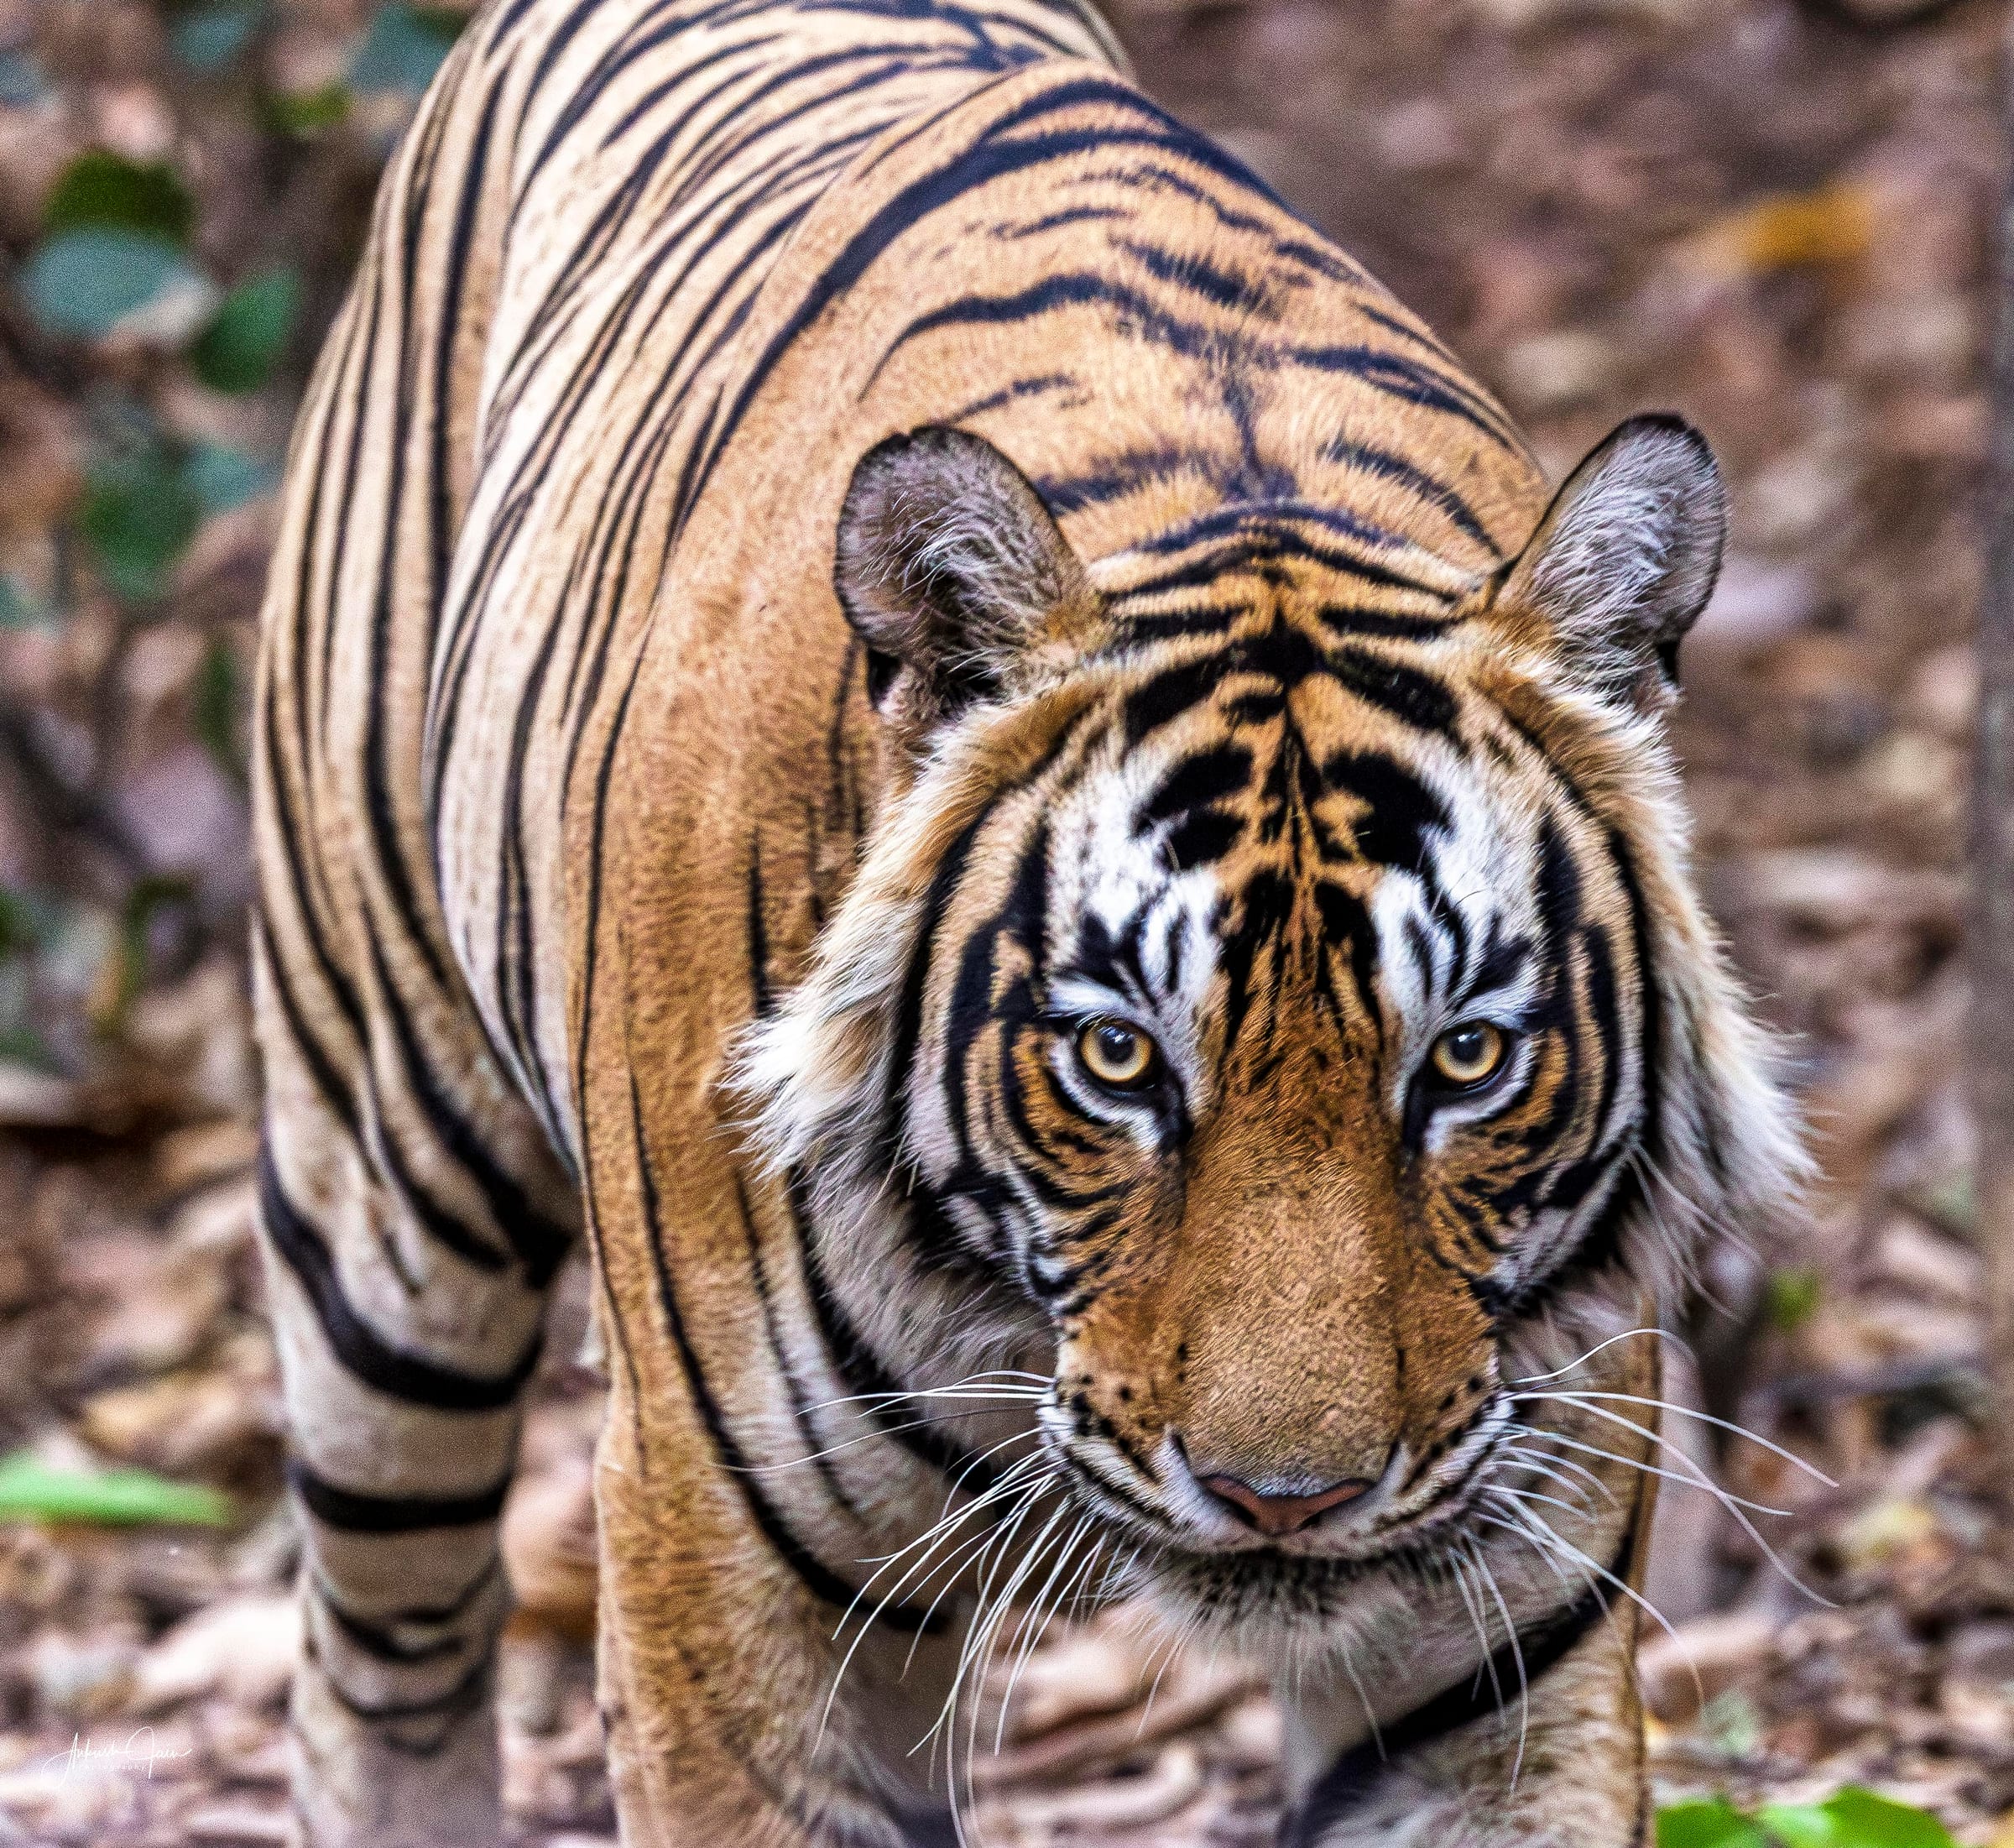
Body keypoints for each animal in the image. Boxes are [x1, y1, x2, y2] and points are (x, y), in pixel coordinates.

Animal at [249, 0, 1806, 1842]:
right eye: (1117, 1058)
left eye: (1470, 1059)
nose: (1286, 1499)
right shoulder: (725, 1573)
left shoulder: (1500, 1641)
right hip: (384, 1189)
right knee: (382, 1648)